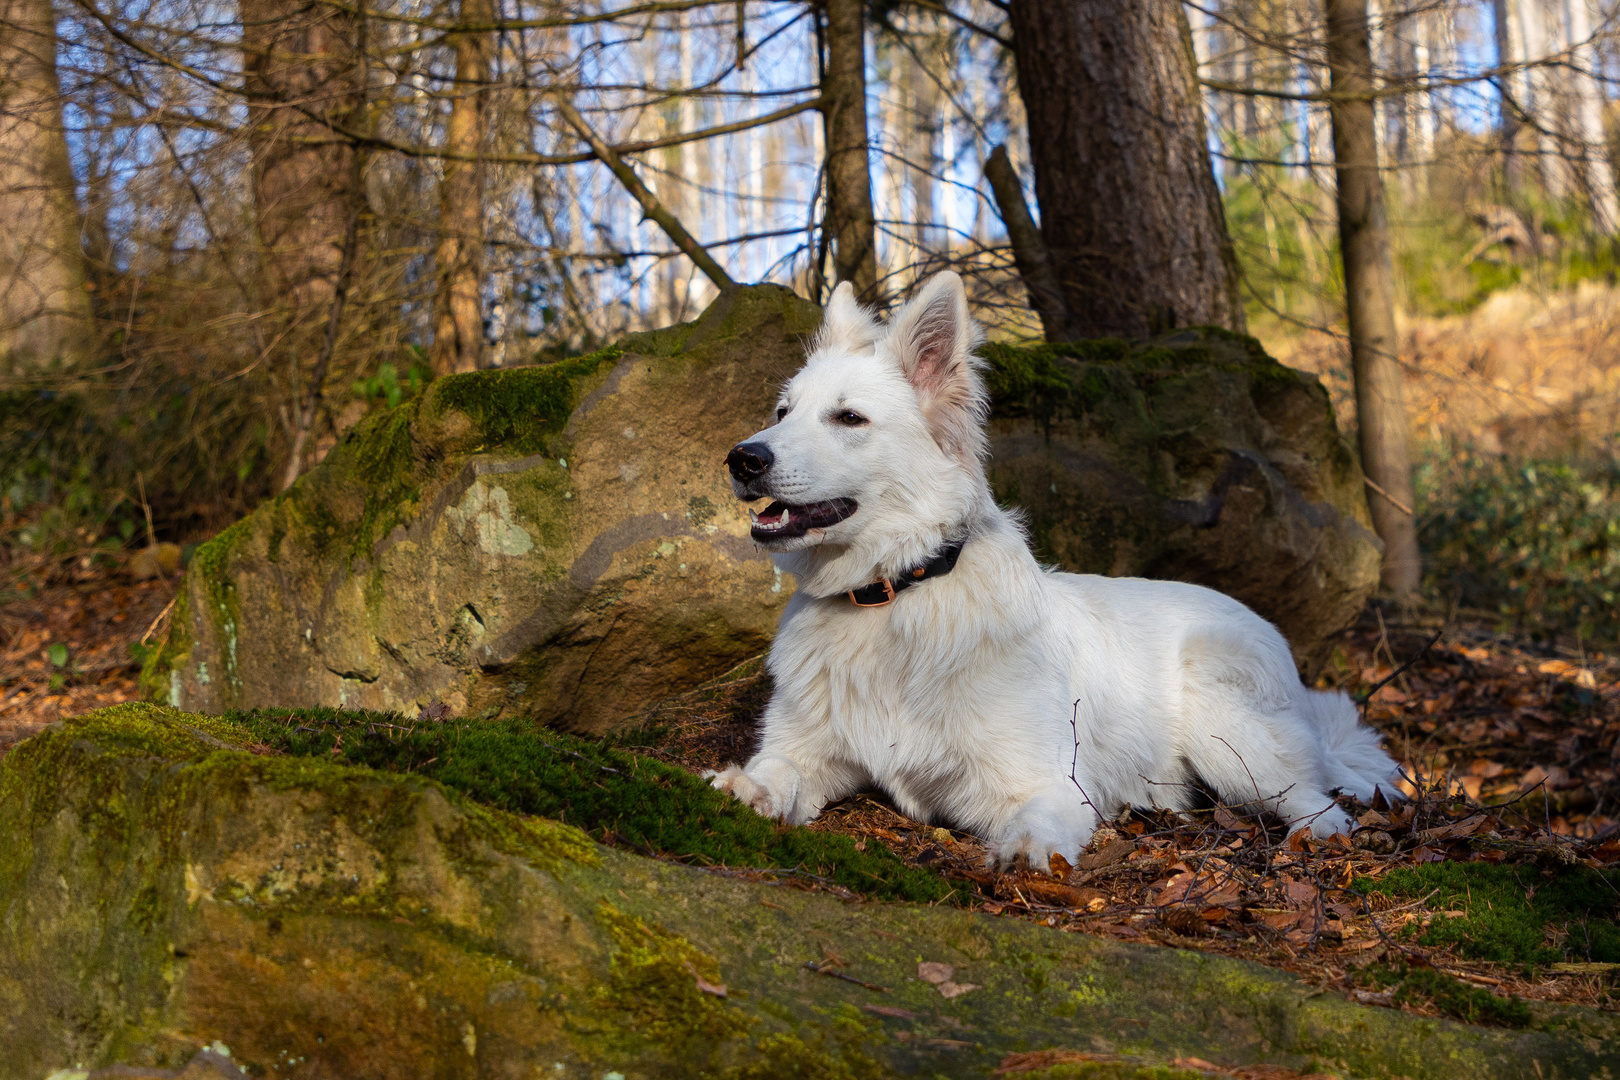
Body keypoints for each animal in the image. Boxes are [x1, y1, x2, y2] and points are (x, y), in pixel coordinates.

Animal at [712, 272, 1406, 867]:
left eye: (848, 417)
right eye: (782, 413)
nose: (741, 459)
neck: (892, 593)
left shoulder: (1042, 784)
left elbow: (1033, 824)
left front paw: (1025, 855)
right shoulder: (803, 749)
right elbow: (775, 771)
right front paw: (743, 788)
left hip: (1230, 735)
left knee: (1321, 804)